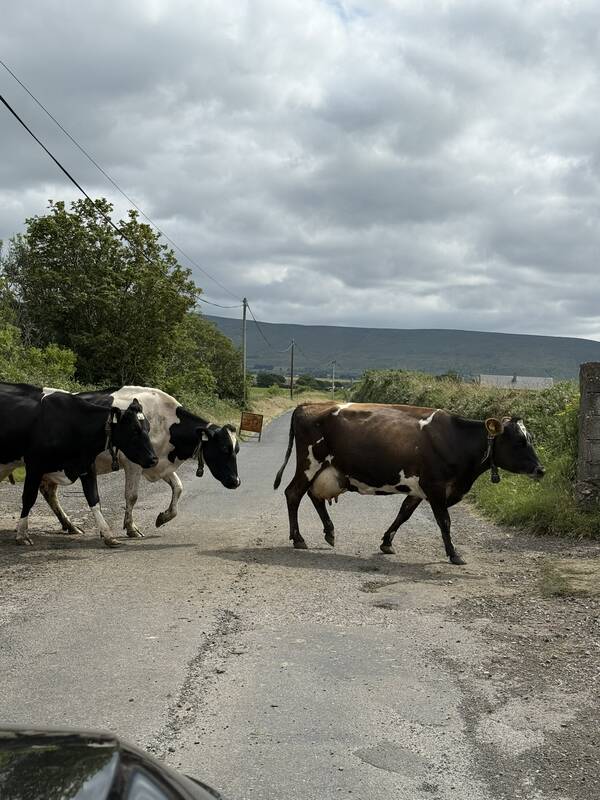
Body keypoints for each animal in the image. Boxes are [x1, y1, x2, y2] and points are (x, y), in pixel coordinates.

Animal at [0, 383, 158, 547]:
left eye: (148, 428)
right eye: (134, 430)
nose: (154, 459)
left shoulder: (86, 465)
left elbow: (94, 498)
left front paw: (108, 535)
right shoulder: (34, 465)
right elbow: (29, 498)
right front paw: (22, 534)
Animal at [39, 386, 240, 544]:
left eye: (236, 450)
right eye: (223, 449)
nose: (236, 481)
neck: (165, 421)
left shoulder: (158, 463)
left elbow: (178, 487)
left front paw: (163, 517)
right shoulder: (133, 463)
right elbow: (132, 496)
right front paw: (131, 528)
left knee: (48, 491)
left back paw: (70, 526)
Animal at [273, 402, 545, 565]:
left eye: (529, 438)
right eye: (519, 441)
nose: (541, 469)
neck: (457, 440)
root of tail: (308, 404)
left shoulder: (419, 489)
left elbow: (403, 514)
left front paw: (386, 543)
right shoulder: (435, 486)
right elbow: (444, 521)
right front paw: (454, 554)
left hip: (326, 470)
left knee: (313, 496)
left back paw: (329, 532)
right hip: (310, 463)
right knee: (293, 493)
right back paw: (298, 538)